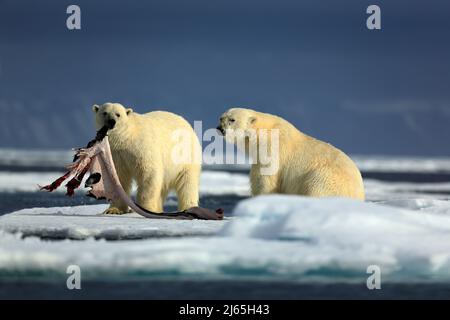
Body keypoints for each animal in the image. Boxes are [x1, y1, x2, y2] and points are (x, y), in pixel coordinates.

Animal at [217, 109, 366, 201]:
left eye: (232, 119)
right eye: (221, 118)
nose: (220, 129)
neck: (263, 131)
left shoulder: (273, 148)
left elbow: (265, 178)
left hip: (325, 178)